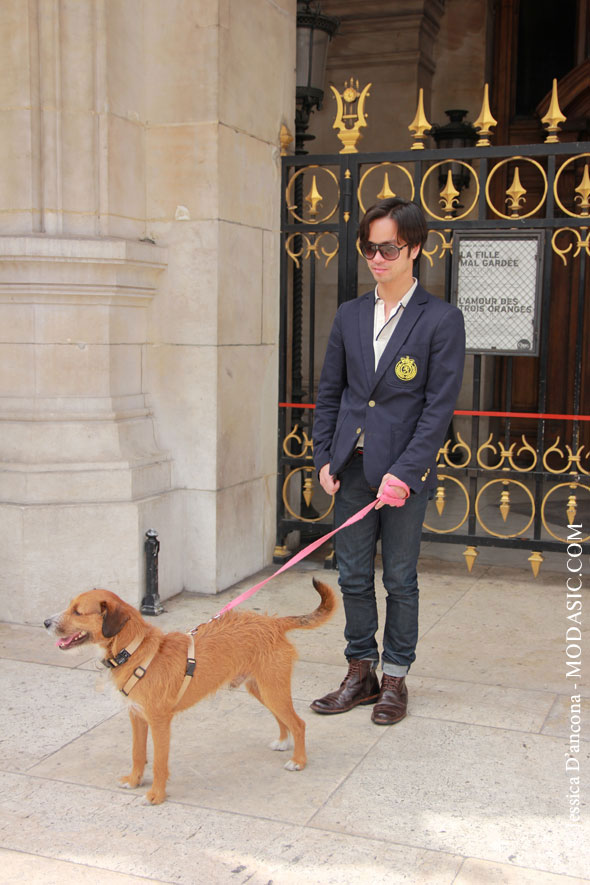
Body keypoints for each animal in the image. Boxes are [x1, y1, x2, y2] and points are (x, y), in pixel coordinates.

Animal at [44, 576, 336, 804]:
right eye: (71, 607)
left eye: (78, 612)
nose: (46, 622)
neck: (135, 650)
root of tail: (274, 622)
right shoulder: (137, 717)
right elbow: (138, 754)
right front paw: (134, 780)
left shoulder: (159, 722)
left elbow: (159, 762)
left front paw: (156, 795)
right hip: (262, 690)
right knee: (284, 719)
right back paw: (283, 742)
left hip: (272, 689)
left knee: (299, 723)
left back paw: (299, 760)